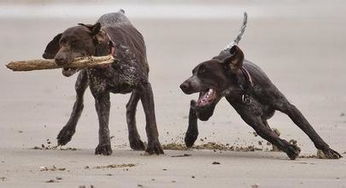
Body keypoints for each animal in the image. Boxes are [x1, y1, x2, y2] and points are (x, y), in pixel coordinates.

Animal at [42, 9, 164, 155]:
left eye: (75, 42)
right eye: (61, 42)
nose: (58, 59)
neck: (109, 59)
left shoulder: (144, 86)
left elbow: (150, 121)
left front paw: (154, 145)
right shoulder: (101, 95)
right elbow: (103, 124)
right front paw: (104, 145)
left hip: (141, 83)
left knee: (130, 107)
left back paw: (134, 138)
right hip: (82, 79)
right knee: (79, 103)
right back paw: (67, 132)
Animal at [180, 13, 342, 160]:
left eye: (203, 71)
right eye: (193, 72)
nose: (183, 85)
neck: (246, 89)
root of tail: (222, 54)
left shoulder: (289, 108)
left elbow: (310, 130)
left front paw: (327, 150)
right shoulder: (254, 121)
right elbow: (270, 135)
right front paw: (289, 148)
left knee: (194, 104)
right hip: (206, 111)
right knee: (193, 105)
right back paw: (190, 136)